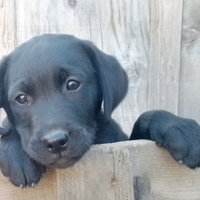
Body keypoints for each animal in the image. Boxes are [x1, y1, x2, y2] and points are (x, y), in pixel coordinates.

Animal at [0, 34, 199, 188]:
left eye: (73, 84)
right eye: (21, 98)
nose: (55, 142)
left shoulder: (124, 141)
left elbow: (145, 117)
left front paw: (180, 128)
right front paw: (16, 153)